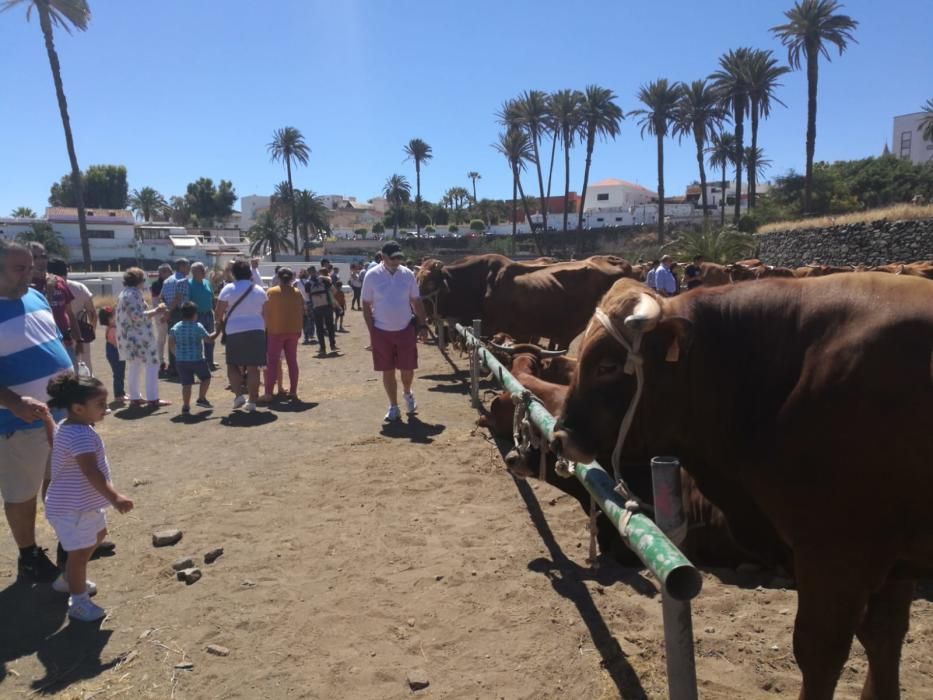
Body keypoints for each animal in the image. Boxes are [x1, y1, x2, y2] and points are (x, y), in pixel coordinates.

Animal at [552, 274, 932, 700]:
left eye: (606, 365)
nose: (560, 437)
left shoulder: (835, 557)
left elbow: (820, 654)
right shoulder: (894, 564)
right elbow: (884, 637)